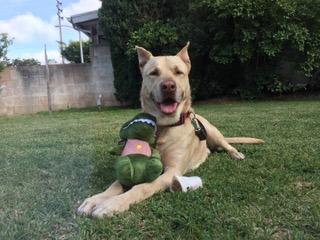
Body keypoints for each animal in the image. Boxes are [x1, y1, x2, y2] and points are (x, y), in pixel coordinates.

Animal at [77, 42, 262, 218]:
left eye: (179, 72)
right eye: (153, 73)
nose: (168, 86)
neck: (163, 126)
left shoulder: (172, 171)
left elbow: (142, 186)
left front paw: (113, 204)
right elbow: (116, 183)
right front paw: (96, 199)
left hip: (212, 132)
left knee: (227, 145)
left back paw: (236, 153)